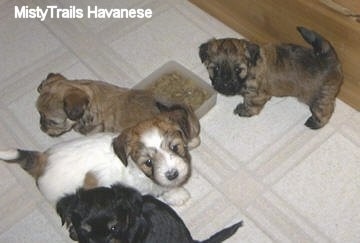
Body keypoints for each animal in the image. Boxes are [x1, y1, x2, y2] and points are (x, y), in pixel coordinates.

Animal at [200, 26, 344, 129]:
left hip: (320, 98)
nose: (225, 83)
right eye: (215, 68)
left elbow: (251, 104)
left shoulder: (257, 95)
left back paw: (316, 123)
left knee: (326, 110)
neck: (251, 67)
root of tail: (330, 60)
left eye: (238, 70)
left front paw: (245, 111)